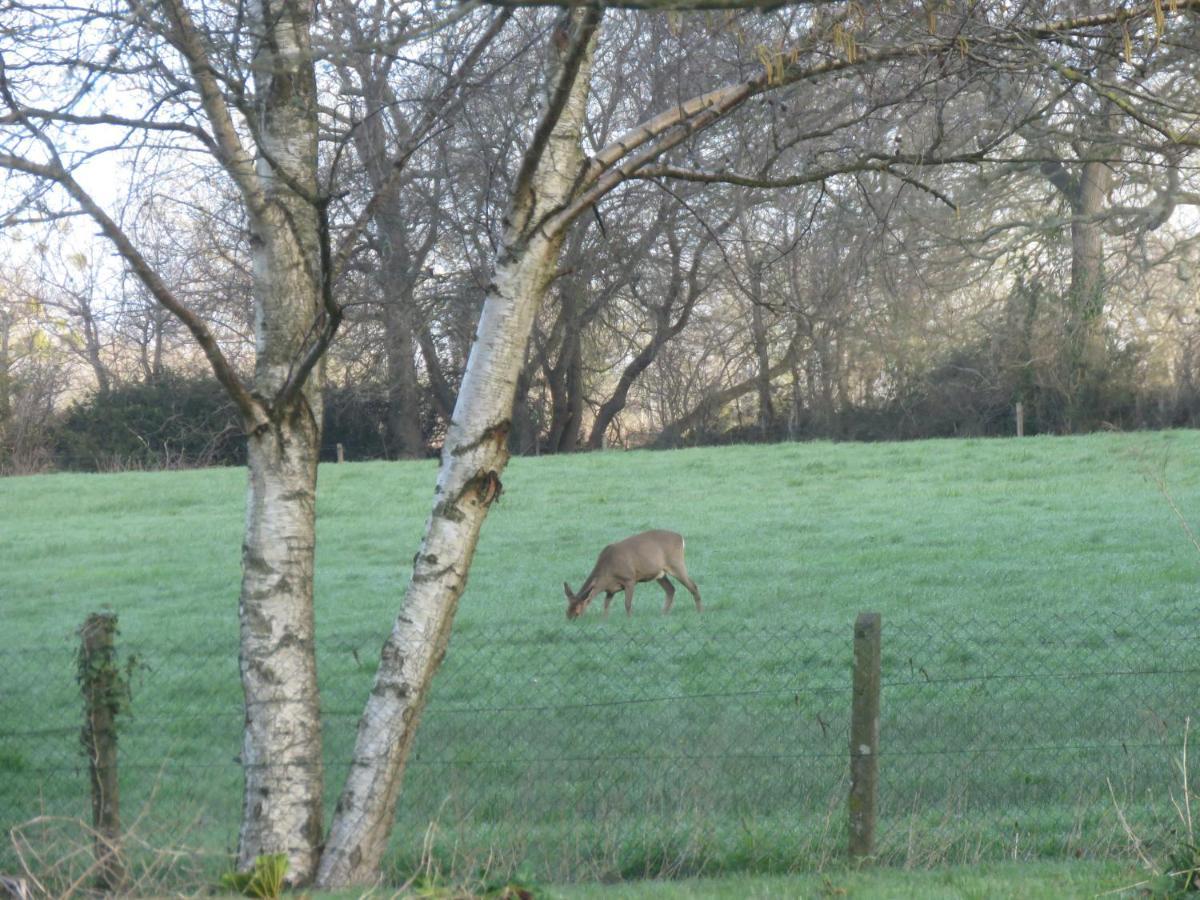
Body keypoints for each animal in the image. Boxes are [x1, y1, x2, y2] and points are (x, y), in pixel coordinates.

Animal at [564, 528, 700, 619]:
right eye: (566, 610)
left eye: (578, 611)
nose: (570, 621)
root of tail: (681, 538)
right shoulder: (610, 590)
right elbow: (606, 605)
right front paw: (605, 620)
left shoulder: (629, 579)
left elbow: (627, 604)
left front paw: (629, 619)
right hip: (660, 574)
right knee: (671, 589)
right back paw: (663, 613)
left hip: (676, 563)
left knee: (693, 585)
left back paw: (700, 611)